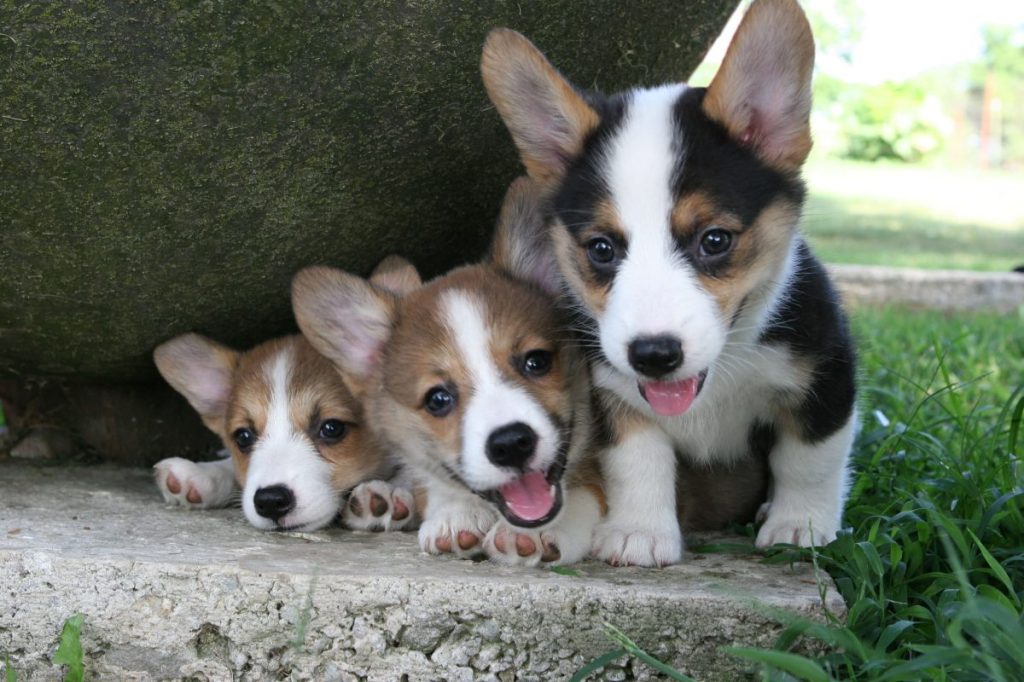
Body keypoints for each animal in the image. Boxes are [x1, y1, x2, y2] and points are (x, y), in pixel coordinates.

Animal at [292, 178, 602, 565]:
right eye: (438, 399)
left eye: (536, 361)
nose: (511, 444)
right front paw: (457, 514)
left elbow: (589, 494)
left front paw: (543, 532)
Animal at [479, 0, 856, 565]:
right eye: (601, 249)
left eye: (715, 240)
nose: (653, 355)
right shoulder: (613, 391)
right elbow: (638, 460)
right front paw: (638, 532)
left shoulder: (826, 377)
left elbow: (810, 460)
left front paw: (800, 526)